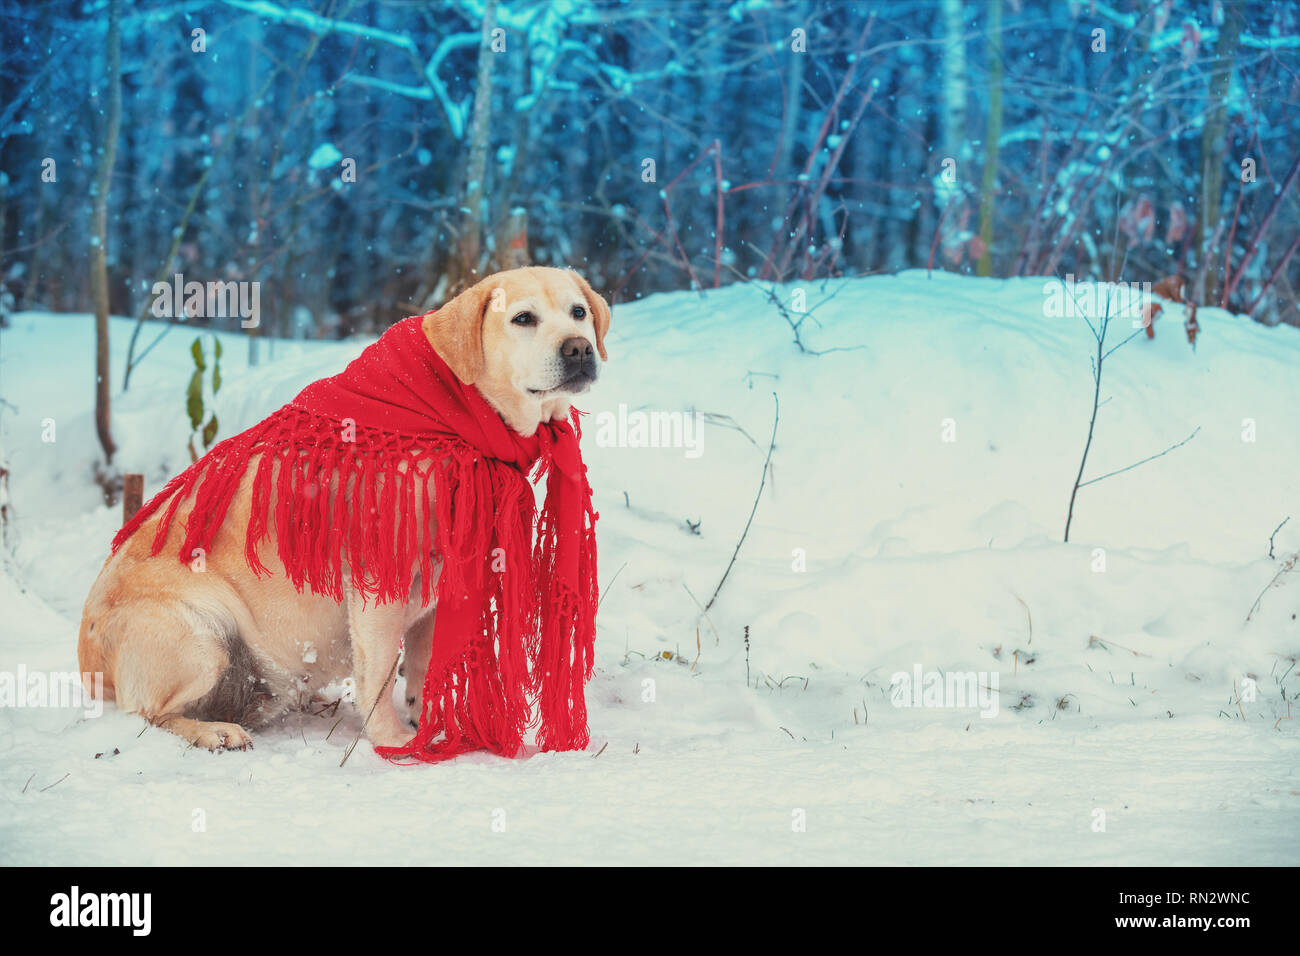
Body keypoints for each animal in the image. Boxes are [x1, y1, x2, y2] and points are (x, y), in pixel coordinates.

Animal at [78, 265, 611, 749]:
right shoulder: (379, 580)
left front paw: (431, 723)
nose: (580, 349)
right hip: (202, 636)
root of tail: (89, 669)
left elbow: (422, 667)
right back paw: (215, 732)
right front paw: (392, 740)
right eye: (523, 318)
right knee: (150, 715)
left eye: (578, 312)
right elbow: (380, 671)